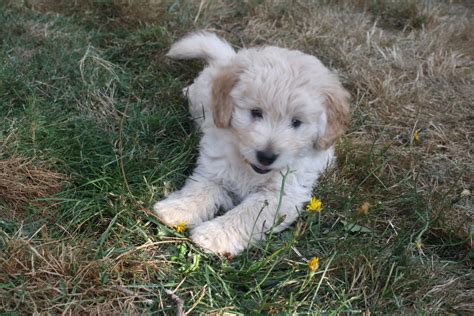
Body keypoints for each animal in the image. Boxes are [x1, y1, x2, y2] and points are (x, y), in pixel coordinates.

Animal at [154, 30, 350, 256]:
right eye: (256, 112)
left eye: (296, 122)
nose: (266, 156)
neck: (249, 168)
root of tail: (228, 58)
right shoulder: (215, 169)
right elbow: (199, 190)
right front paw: (176, 209)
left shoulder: (280, 196)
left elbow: (246, 215)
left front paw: (213, 235)